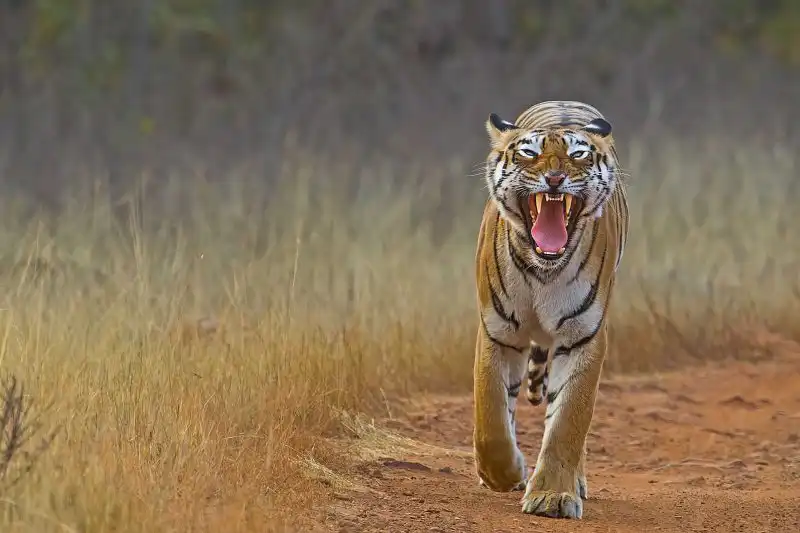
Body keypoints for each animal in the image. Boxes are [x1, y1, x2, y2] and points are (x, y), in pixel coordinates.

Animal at [472, 100, 628, 519]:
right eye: (529, 153)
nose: (555, 179)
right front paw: (504, 474)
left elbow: (568, 423)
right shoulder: (498, 332)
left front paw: (553, 496)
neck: (544, 269)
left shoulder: (582, 338)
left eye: (578, 155)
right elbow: (490, 416)